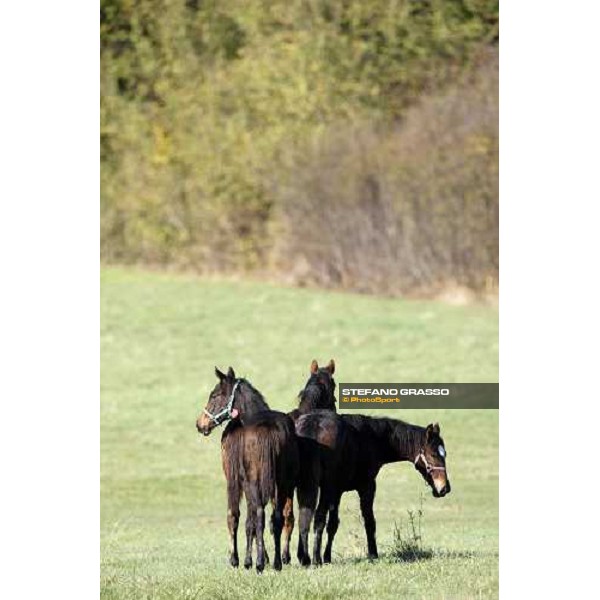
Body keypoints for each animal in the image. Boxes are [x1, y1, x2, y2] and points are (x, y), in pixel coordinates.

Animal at [197, 366, 300, 572]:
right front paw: (254, 559)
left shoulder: (234, 480)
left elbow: (235, 516)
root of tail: (269, 429)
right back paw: (277, 562)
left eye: (214, 395)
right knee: (277, 517)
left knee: (260, 514)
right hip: (281, 483)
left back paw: (259, 563)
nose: (200, 423)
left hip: (255, 481)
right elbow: (250, 522)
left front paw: (237, 560)